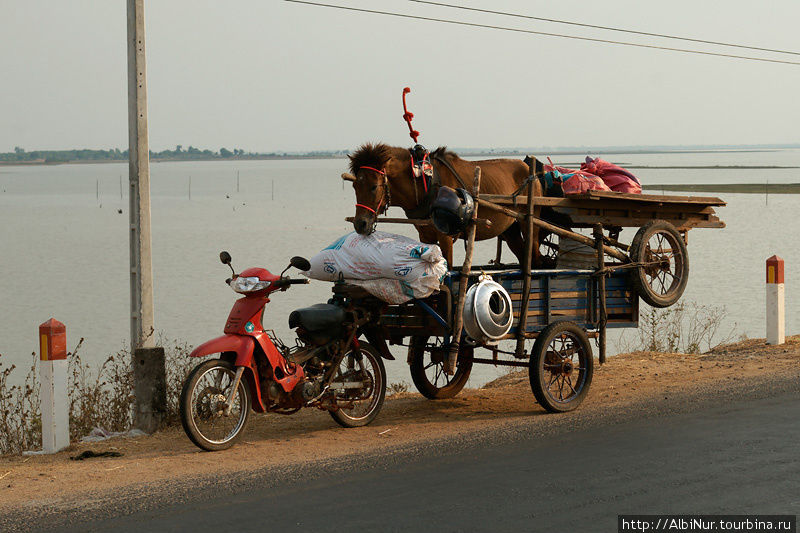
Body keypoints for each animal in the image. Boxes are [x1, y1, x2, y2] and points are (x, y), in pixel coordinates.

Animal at [344, 142, 544, 268]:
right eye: (354, 186)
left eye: (373, 186)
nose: (360, 224)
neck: (425, 185)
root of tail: (531, 170)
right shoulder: (425, 235)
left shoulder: (446, 235)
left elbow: (449, 268)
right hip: (509, 228)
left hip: (530, 222)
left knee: (534, 258)